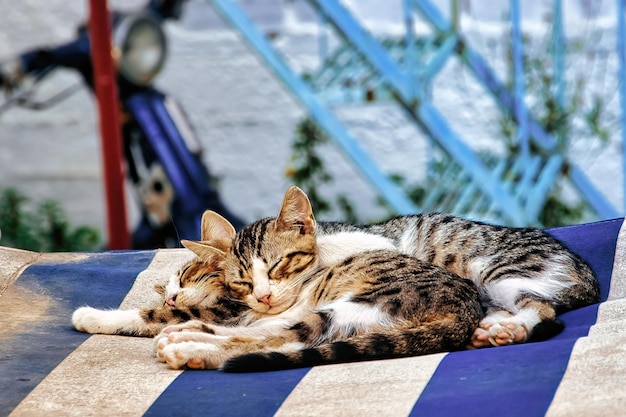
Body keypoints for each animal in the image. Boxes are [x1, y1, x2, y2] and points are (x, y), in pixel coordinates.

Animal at [152, 186, 482, 370]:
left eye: (276, 266)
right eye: (242, 282)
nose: (263, 296)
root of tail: (467, 311)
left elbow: (255, 333)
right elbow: (251, 327)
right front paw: (191, 325)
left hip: (357, 305)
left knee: (281, 342)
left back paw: (189, 348)